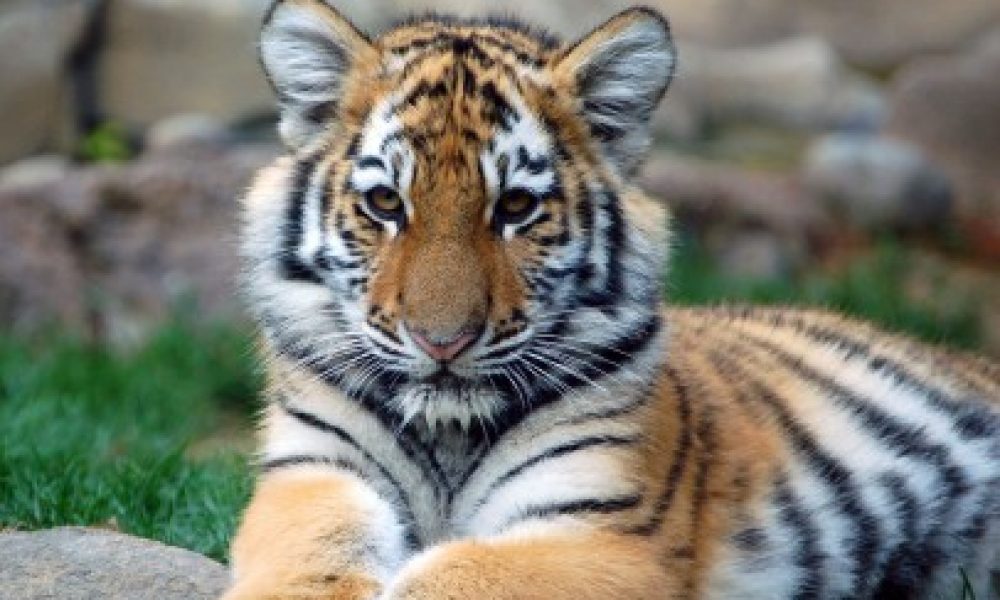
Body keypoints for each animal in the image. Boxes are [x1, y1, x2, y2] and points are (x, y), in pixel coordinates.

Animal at [224, 1, 1000, 599]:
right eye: (386, 203)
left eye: (516, 208)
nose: (442, 342)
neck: (449, 434)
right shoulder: (314, 476)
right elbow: (314, 560)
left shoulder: (605, 530)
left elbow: (448, 574)